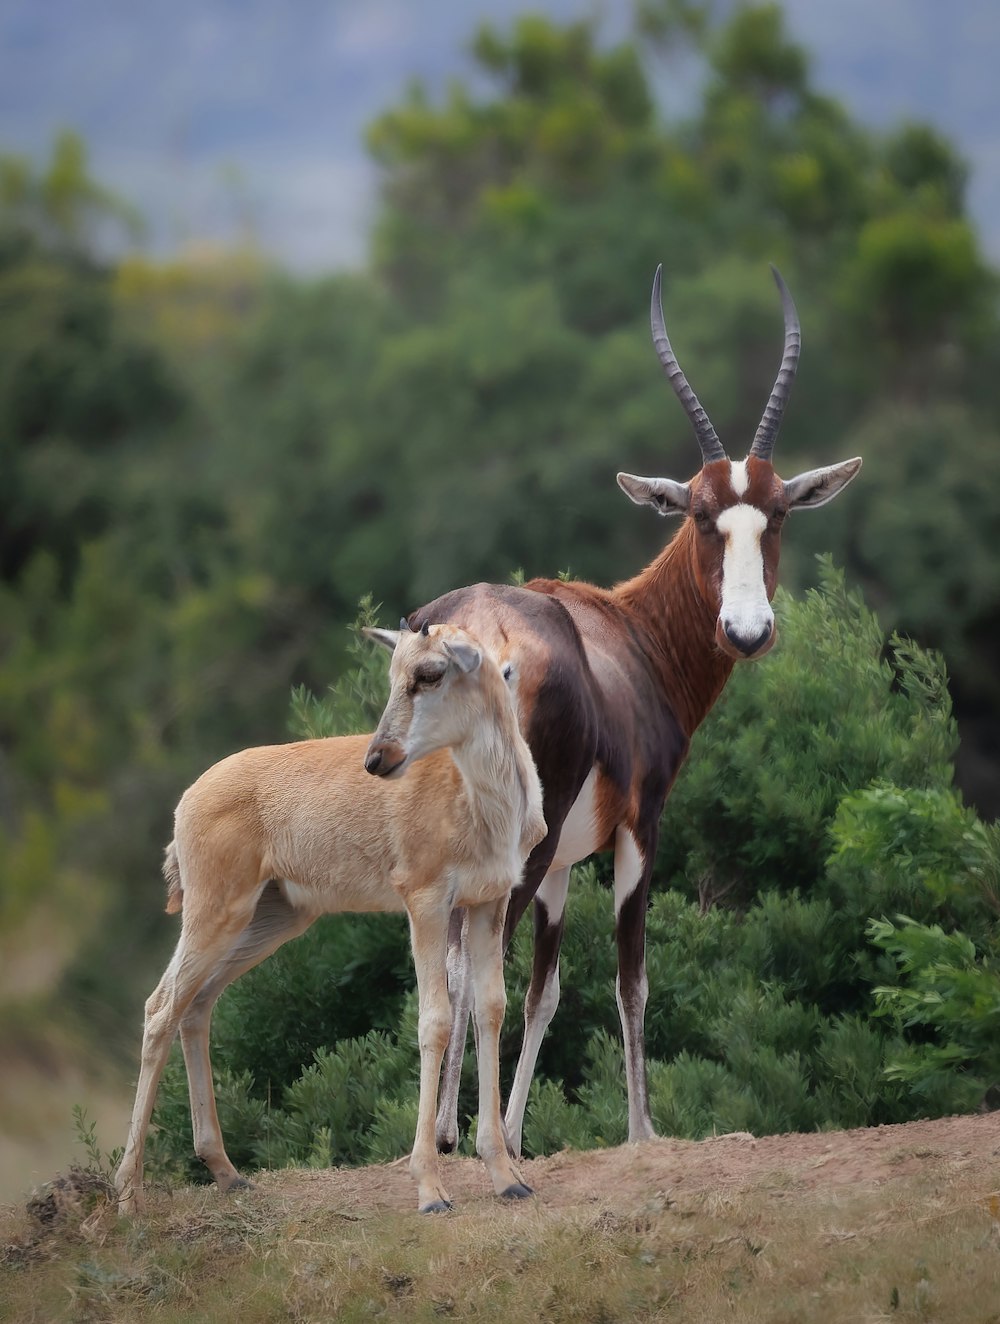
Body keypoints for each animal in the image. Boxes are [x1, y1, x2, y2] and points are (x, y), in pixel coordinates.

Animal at [116, 619, 548, 1212]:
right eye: (394, 673)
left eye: (429, 672)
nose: (377, 760)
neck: (479, 798)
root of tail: (189, 800)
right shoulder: (426, 902)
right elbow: (433, 1020)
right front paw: (431, 1191)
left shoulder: (489, 903)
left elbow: (490, 1011)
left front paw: (508, 1179)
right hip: (216, 915)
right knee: (161, 1007)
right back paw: (127, 1194)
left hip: (271, 921)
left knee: (196, 1005)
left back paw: (228, 1173)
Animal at [418, 263, 863, 1154]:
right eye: (699, 513)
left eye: (778, 513)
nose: (747, 630)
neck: (626, 632)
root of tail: (479, 634)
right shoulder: (638, 827)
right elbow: (631, 978)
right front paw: (641, 1131)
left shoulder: (561, 863)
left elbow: (547, 991)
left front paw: (515, 1129)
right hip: (522, 840)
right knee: (480, 955)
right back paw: (463, 1139)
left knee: (454, 961)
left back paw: (445, 1136)